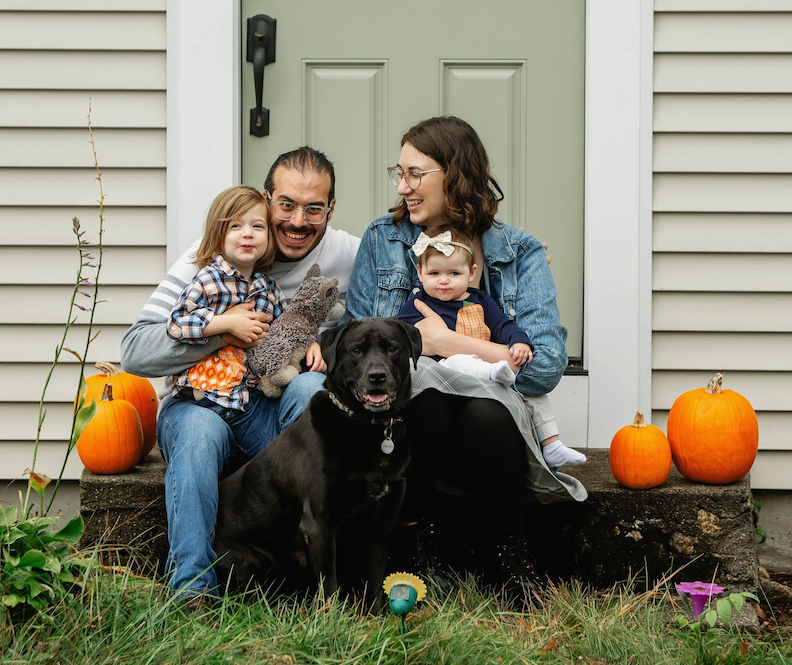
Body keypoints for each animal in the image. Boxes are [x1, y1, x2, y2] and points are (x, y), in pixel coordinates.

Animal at [214, 317, 422, 610]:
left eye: (392, 348)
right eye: (356, 350)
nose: (377, 377)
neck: (366, 429)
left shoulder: (383, 523)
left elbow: (377, 579)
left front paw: (377, 616)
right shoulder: (320, 524)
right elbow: (330, 587)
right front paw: (331, 618)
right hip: (249, 561)